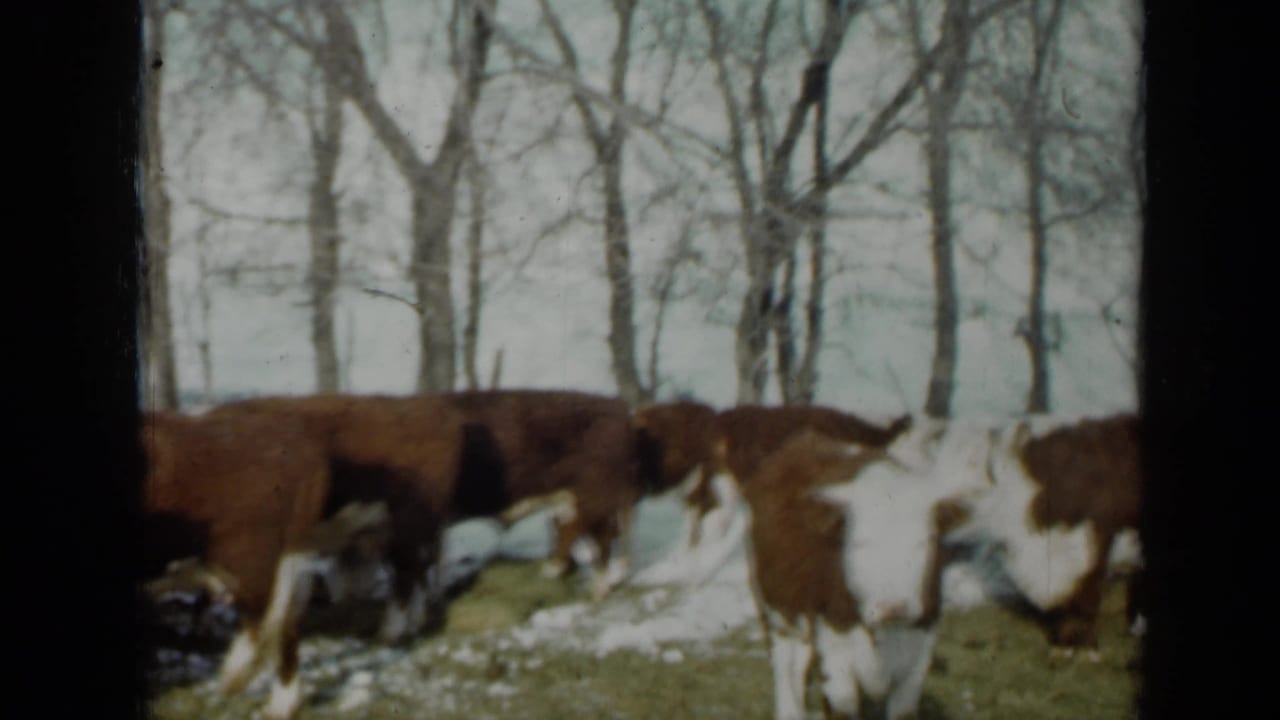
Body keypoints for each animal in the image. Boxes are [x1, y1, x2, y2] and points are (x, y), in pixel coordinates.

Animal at [739, 423, 990, 720]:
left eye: (925, 541)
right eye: (860, 542)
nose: (894, 607)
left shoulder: (919, 652)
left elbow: (903, 710)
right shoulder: (834, 657)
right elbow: (843, 704)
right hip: (774, 608)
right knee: (784, 665)